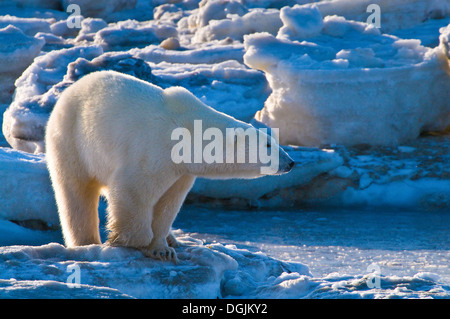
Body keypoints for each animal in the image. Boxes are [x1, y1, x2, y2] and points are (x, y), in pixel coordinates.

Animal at [45, 71, 296, 264]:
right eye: (268, 144)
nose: (291, 163)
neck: (190, 133)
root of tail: (68, 92)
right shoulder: (154, 150)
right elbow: (134, 191)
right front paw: (133, 241)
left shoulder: (182, 170)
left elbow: (168, 203)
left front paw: (162, 248)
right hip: (72, 141)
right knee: (76, 194)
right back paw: (87, 242)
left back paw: (173, 238)